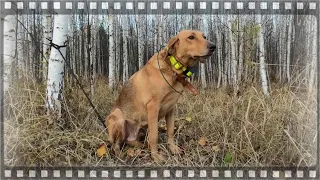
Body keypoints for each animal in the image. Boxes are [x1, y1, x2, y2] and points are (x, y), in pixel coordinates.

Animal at [105, 30, 215, 162]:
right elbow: (154, 136)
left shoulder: (171, 108)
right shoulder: (153, 107)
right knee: (116, 144)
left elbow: (170, 131)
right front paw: (155, 156)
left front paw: (173, 148)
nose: (213, 46)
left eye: (204, 36)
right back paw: (120, 156)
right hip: (118, 117)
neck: (174, 70)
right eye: (191, 37)